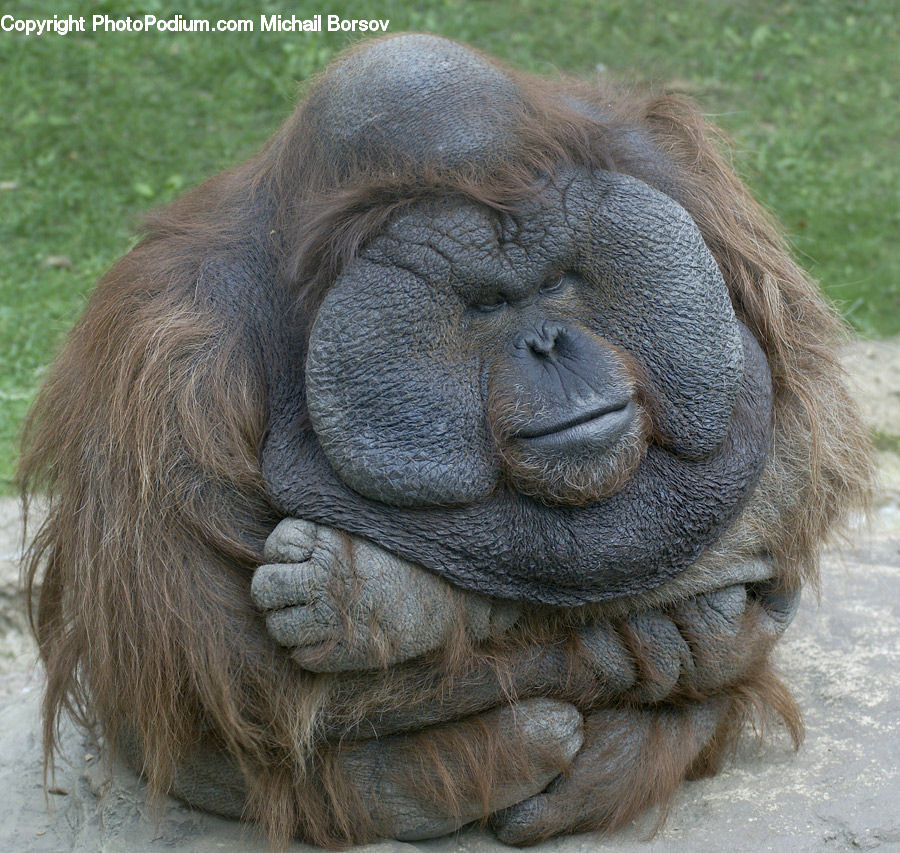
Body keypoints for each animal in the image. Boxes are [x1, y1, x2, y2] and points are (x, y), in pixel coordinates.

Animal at [18, 33, 872, 847]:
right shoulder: (173, 344)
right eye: (488, 304)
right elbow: (225, 655)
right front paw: (381, 600)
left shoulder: (686, 181)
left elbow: (798, 434)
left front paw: (373, 598)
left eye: (556, 283)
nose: (549, 343)